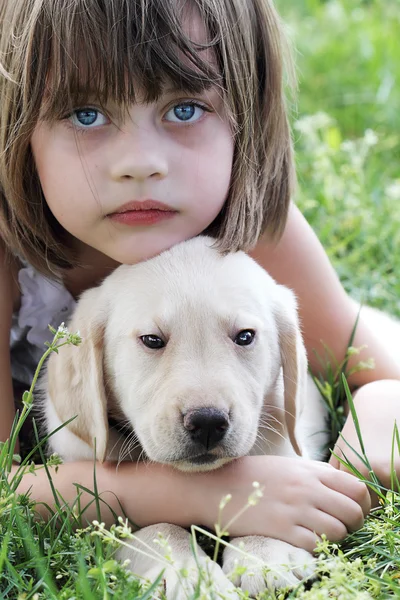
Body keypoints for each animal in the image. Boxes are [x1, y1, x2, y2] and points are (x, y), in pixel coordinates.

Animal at [42, 237, 328, 596]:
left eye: (245, 336)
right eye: (152, 340)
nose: (207, 422)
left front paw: (264, 551)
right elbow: (157, 524)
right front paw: (188, 573)